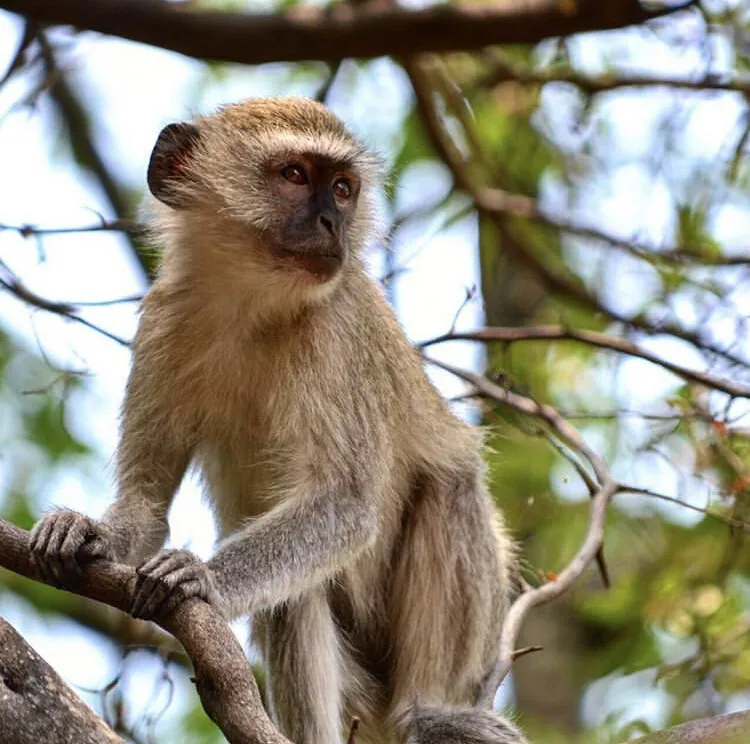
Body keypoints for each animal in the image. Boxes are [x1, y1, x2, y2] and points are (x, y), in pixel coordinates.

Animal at [29, 97, 527, 744]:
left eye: (341, 189)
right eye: (294, 175)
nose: (333, 225)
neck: (250, 304)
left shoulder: (334, 330)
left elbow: (346, 506)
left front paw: (203, 577)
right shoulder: (164, 318)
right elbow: (145, 504)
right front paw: (88, 532)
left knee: (449, 488)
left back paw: (426, 712)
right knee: (296, 599)